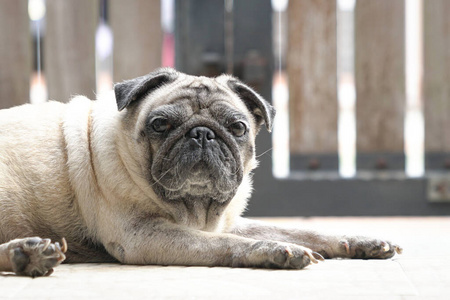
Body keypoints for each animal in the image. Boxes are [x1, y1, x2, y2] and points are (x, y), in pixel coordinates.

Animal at [0, 68, 400, 276]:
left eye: (237, 128)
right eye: (160, 125)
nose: (202, 133)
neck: (194, 208)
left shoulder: (225, 222)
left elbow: (302, 231)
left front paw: (356, 242)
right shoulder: (144, 235)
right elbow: (227, 245)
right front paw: (275, 251)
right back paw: (27, 254)